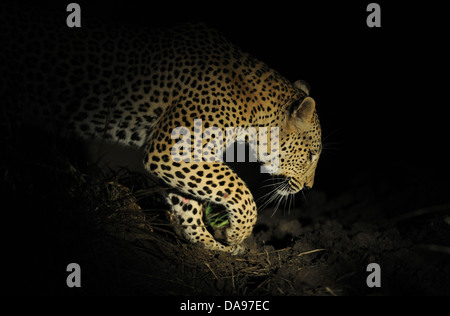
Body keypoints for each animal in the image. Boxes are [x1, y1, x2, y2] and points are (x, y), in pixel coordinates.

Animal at [0, 2, 324, 254]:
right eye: (310, 155)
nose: (308, 187)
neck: (254, 110)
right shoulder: (171, 150)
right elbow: (239, 191)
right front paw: (235, 234)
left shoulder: (186, 158)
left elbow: (189, 202)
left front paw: (208, 244)